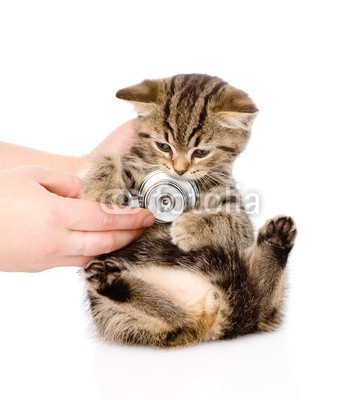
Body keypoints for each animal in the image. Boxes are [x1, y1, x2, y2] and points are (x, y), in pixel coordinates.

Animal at [81, 74, 296, 346]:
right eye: (163, 146)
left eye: (201, 152)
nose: (180, 169)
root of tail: (209, 313)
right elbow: (109, 159)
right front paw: (100, 187)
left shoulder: (238, 218)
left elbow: (229, 221)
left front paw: (188, 227)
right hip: (114, 313)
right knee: (173, 318)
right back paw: (110, 281)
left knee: (261, 306)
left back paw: (276, 240)